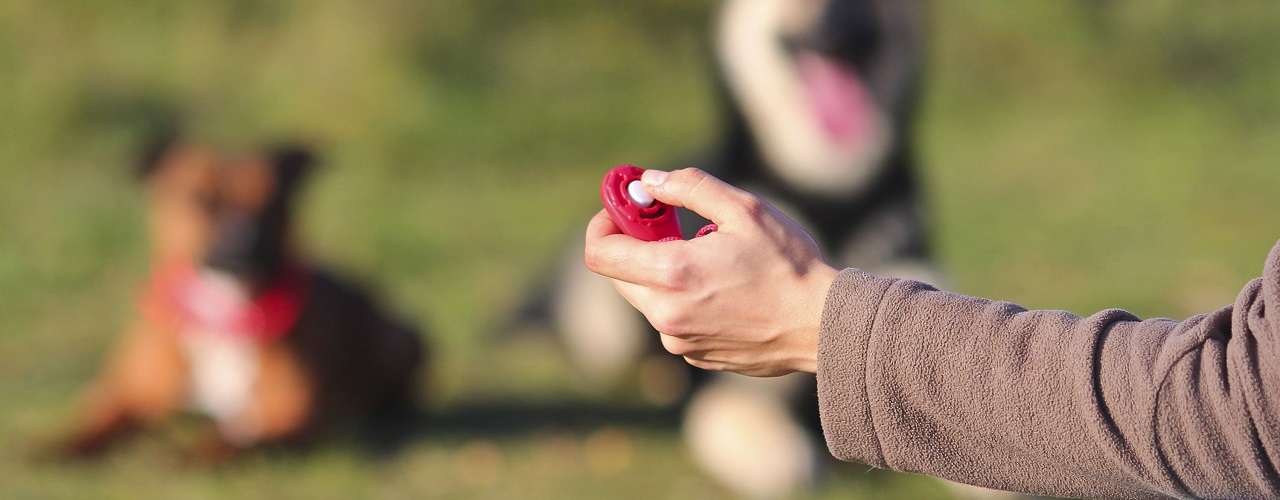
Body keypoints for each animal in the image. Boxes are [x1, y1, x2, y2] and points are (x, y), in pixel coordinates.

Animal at [57, 138, 424, 460]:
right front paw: (62, 448)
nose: (242, 240)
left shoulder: (295, 421)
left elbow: (241, 442)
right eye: (201, 199)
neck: (224, 316)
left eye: (274, 204)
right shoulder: (121, 393)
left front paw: (196, 453)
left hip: (402, 339)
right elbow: (95, 424)